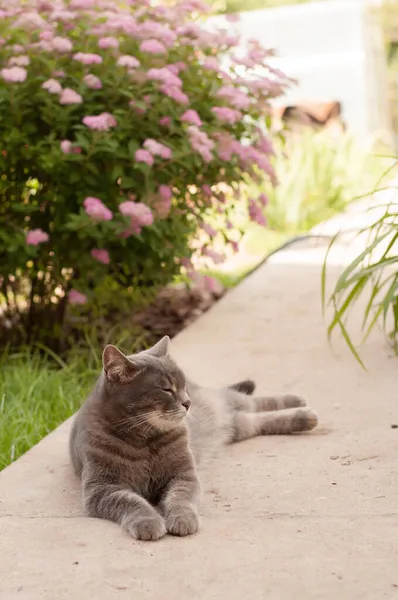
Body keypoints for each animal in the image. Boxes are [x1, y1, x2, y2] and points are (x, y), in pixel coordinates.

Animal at [68, 336, 318, 540]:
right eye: (166, 389)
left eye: (183, 385)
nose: (188, 402)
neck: (144, 440)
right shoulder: (103, 489)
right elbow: (133, 502)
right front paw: (148, 522)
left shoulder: (184, 475)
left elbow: (179, 498)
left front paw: (182, 519)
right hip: (238, 425)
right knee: (254, 419)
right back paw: (303, 417)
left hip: (227, 403)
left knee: (251, 400)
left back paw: (299, 403)